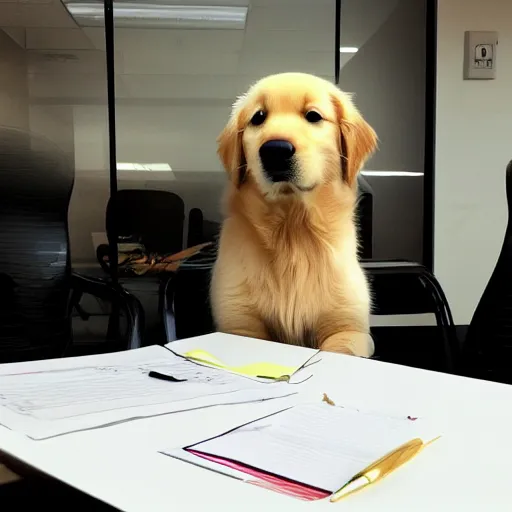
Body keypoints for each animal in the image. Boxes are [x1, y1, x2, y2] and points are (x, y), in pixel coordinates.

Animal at [209, 72, 376, 356]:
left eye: (313, 115)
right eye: (258, 117)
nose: (275, 150)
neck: (291, 229)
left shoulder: (349, 330)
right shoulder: (239, 325)